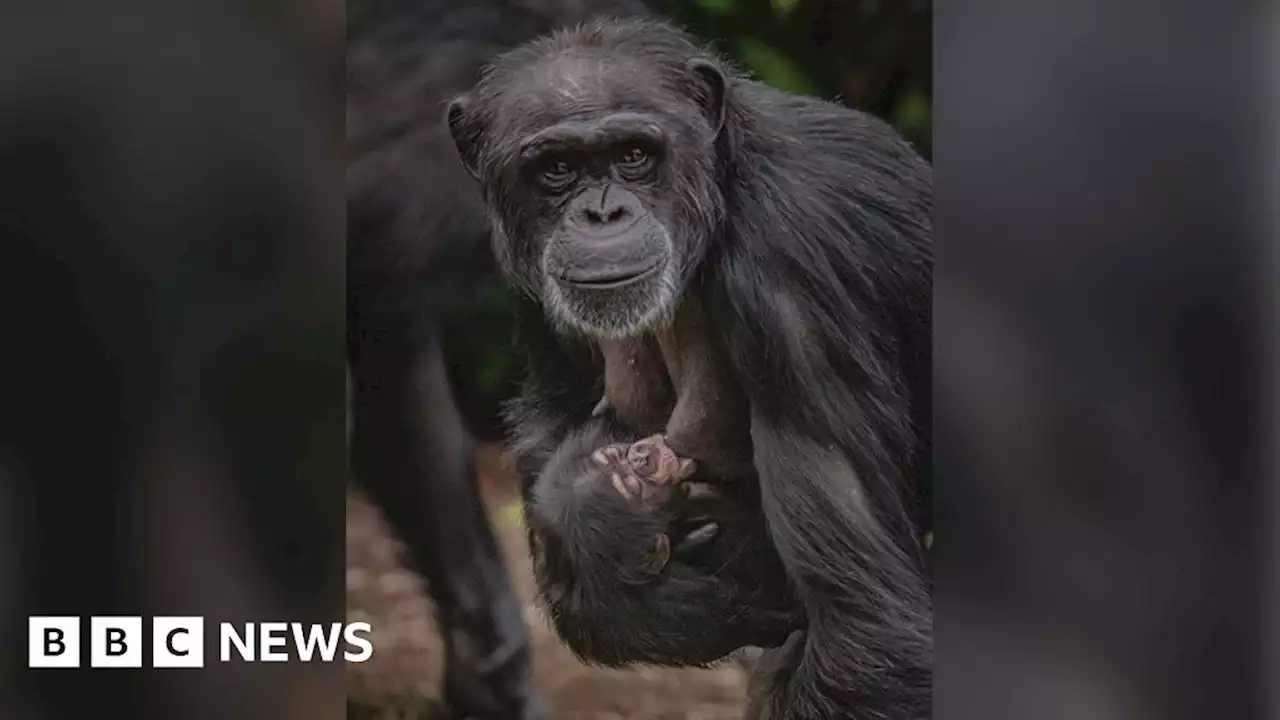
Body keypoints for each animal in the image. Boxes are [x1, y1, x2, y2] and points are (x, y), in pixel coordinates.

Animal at [448, 16, 931, 717]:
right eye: (556, 168)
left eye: (633, 155)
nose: (602, 212)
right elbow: (554, 422)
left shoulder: (794, 277)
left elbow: (869, 627)